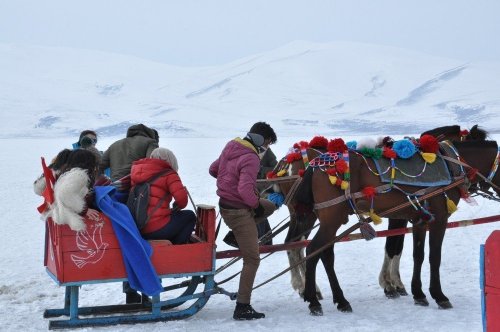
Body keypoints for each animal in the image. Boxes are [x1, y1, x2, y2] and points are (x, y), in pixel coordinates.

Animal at [294, 132, 500, 314]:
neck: (452, 164)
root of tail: (313, 165)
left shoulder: (420, 220)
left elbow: (418, 255)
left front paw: (419, 294)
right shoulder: (440, 219)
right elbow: (434, 257)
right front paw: (439, 295)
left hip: (331, 220)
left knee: (325, 254)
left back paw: (340, 300)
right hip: (332, 219)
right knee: (313, 250)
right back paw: (314, 301)